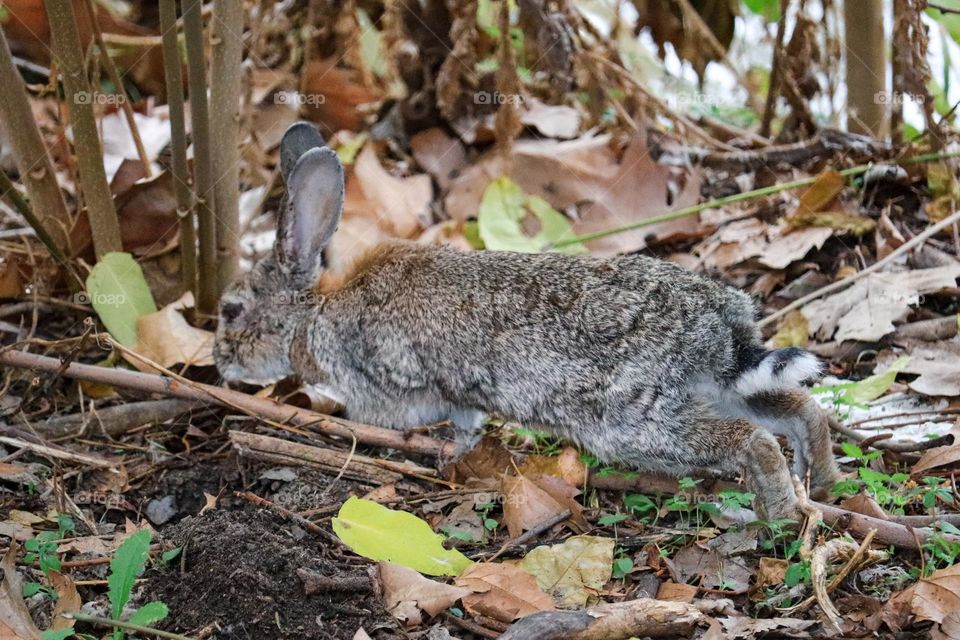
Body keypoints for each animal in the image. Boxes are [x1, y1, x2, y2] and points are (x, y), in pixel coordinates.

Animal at [218, 122, 840, 524]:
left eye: (230, 310)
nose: (219, 362)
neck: (312, 311)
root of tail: (719, 323)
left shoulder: (408, 383)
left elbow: (454, 419)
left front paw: (447, 453)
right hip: (717, 389)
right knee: (799, 408)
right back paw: (824, 482)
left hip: (635, 422)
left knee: (750, 440)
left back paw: (782, 516)